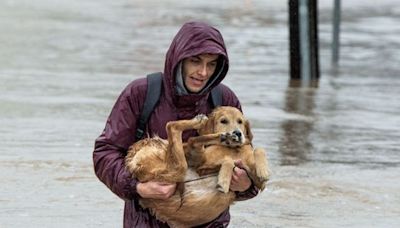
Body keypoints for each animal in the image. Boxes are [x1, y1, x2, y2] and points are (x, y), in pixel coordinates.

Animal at [124, 107, 268, 228]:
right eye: (223, 121)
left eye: (240, 121)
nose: (237, 133)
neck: (234, 150)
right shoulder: (200, 164)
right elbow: (229, 160)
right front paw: (224, 180)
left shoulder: (257, 181)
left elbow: (259, 151)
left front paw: (263, 171)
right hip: (178, 168)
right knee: (176, 128)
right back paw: (213, 131)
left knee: (186, 135)